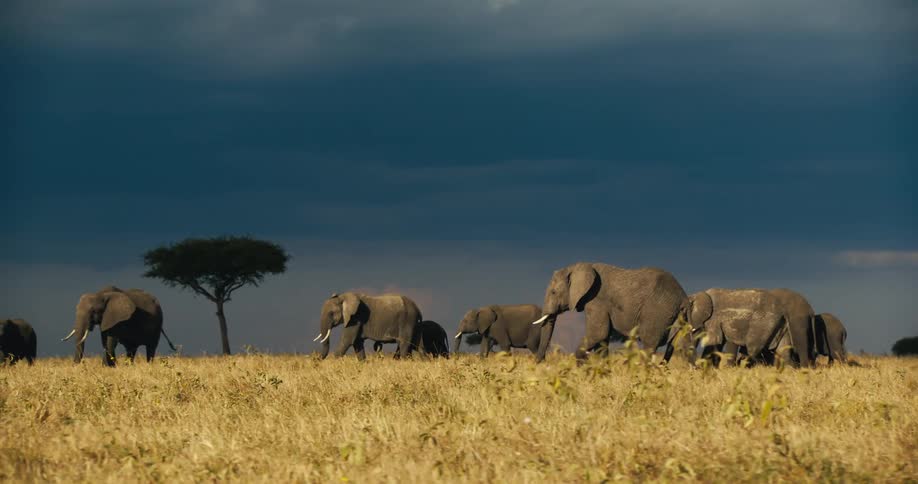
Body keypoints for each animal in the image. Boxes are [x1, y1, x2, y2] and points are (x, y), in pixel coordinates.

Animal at [531, 262, 687, 362]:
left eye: (553, 292)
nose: (542, 361)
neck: (576, 267)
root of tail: (683, 296)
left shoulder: (596, 300)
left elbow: (598, 334)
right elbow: (602, 339)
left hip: (658, 312)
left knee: (649, 345)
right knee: (676, 346)